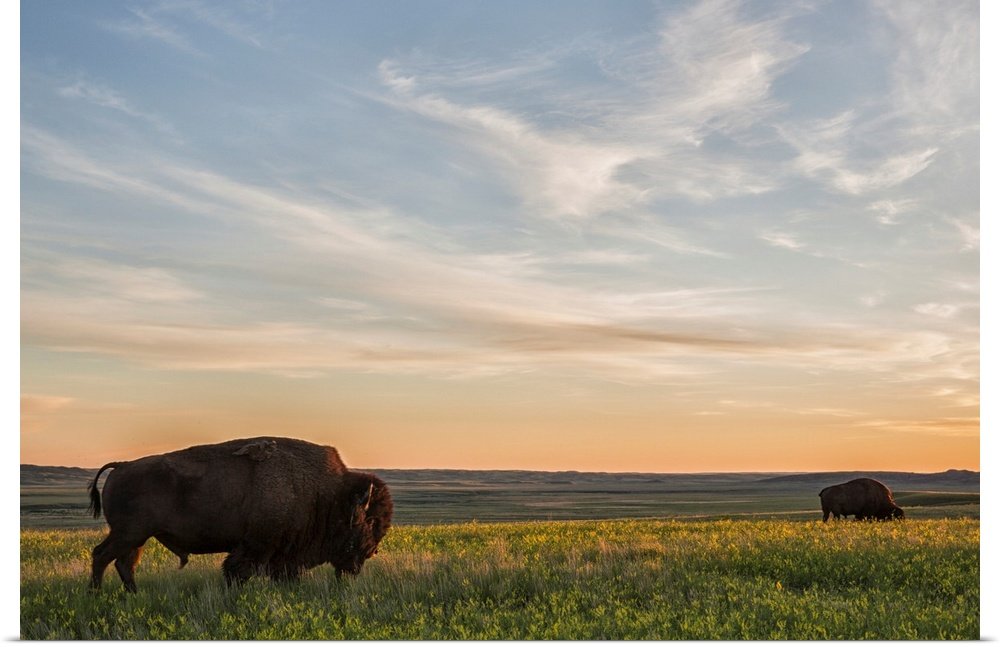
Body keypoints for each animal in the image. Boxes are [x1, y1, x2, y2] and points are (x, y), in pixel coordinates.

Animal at [87, 437, 392, 592]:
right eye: (370, 521)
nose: (371, 552)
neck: (328, 493)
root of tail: (122, 466)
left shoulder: (282, 554)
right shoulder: (256, 546)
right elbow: (237, 571)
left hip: (137, 537)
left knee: (124, 563)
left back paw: (133, 595)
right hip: (129, 533)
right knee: (102, 556)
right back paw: (97, 595)